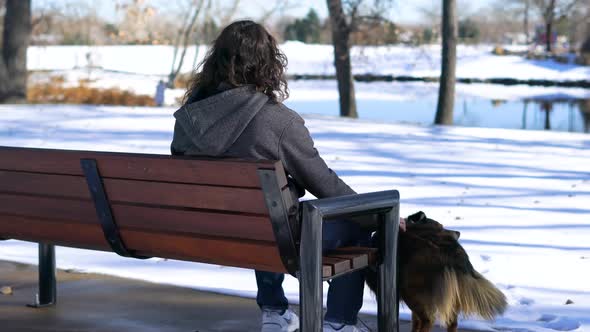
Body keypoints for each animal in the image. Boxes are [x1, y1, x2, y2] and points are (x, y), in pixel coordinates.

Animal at [366, 211, 508, 330]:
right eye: (441, 226)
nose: (458, 232)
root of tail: (449, 254)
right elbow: (415, 322)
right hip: (453, 292)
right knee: (451, 322)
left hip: (411, 291)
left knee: (427, 319)